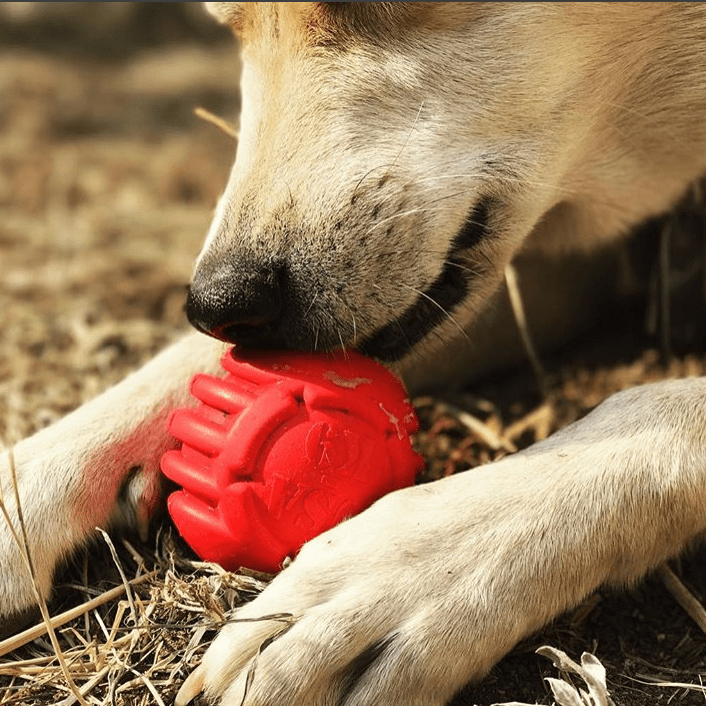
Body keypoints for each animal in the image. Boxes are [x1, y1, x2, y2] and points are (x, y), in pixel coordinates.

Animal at [1, 2, 704, 700]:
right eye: (227, 24)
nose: (217, 301)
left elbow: (656, 408)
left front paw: (395, 575)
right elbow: (188, 367)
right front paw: (24, 484)